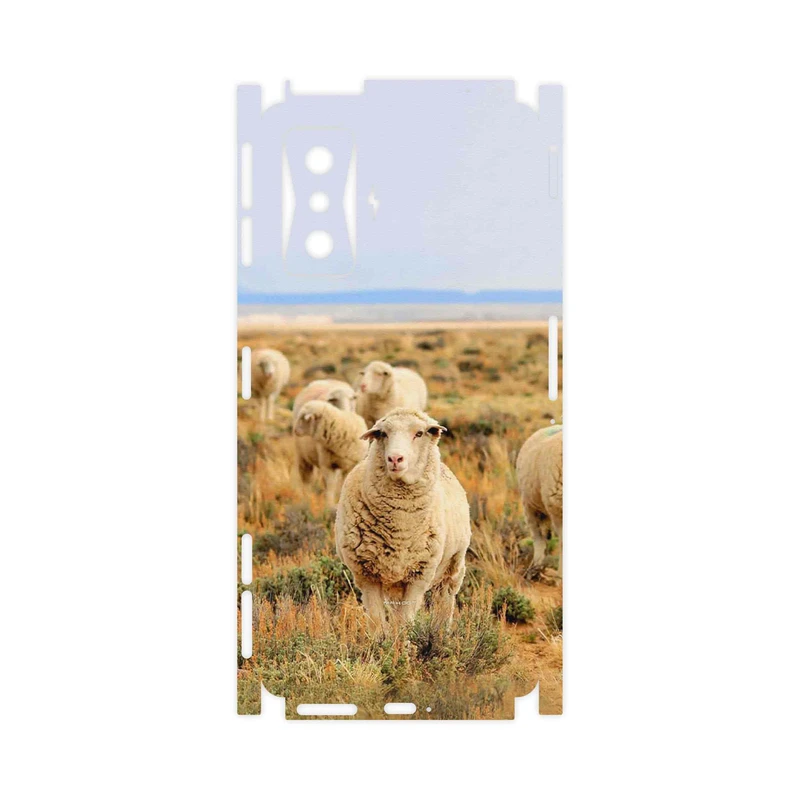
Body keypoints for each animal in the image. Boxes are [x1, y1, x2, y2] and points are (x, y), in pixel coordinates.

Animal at [335, 408, 471, 632]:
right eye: (383, 434)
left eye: (419, 433)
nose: (395, 458)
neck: (400, 527)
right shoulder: (366, 575)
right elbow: (377, 621)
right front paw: (382, 641)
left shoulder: (419, 575)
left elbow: (405, 621)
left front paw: (404, 641)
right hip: (394, 582)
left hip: (453, 566)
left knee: (445, 599)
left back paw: (441, 632)